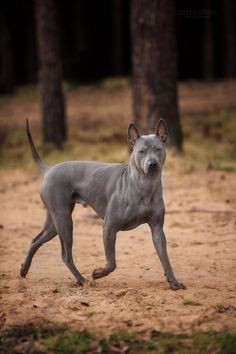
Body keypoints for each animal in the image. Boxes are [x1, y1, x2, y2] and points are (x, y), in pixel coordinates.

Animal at [20, 119, 185, 290]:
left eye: (158, 149)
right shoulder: (109, 227)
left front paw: (173, 281)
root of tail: (49, 169)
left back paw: (24, 270)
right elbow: (112, 262)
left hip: (54, 223)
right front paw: (98, 273)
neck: (145, 185)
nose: (152, 164)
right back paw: (82, 280)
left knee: (35, 240)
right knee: (65, 255)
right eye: (141, 151)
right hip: (64, 220)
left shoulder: (157, 229)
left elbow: (165, 258)